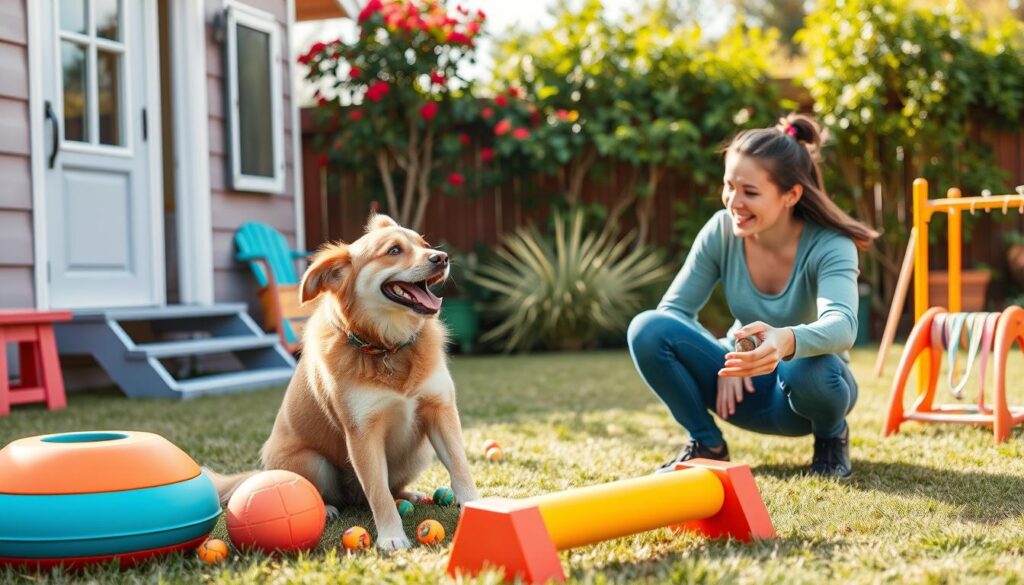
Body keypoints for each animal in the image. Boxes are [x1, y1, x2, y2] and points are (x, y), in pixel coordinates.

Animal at [210, 214, 479, 549]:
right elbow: (378, 493)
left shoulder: (440, 411)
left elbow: (460, 467)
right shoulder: (362, 432)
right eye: (393, 250)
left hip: (420, 452)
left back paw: (408, 494)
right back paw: (326, 507)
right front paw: (392, 537)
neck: (387, 347)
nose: (441, 258)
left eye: (424, 243)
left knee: (392, 488)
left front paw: (478, 509)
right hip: (312, 461)